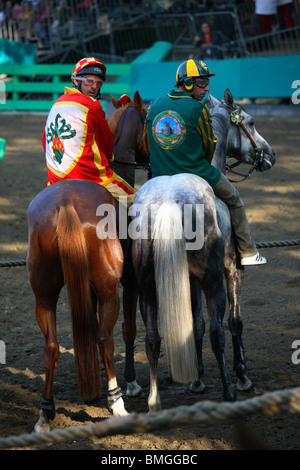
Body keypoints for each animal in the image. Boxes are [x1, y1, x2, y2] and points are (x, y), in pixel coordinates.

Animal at [27, 90, 148, 432]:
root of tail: (65, 201)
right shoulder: (129, 283)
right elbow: (128, 330)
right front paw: (130, 384)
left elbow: (88, 328)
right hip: (108, 288)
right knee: (106, 337)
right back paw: (117, 403)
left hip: (44, 292)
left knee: (51, 346)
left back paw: (45, 413)